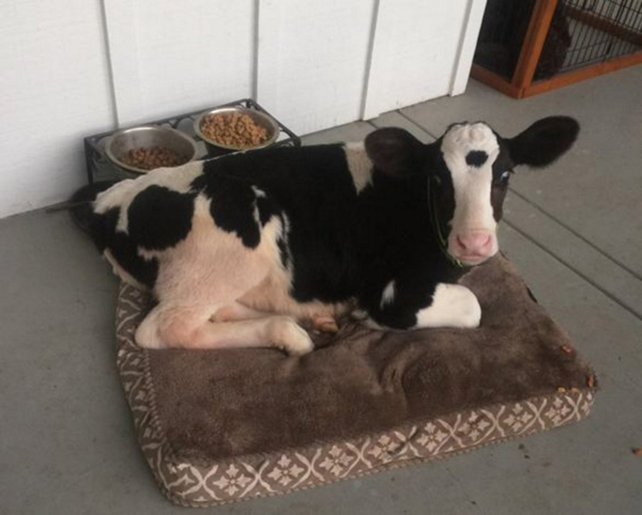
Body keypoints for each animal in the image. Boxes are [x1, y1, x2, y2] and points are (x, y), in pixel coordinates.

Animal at [90, 116, 579, 355]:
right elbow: (474, 307)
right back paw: (291, 336)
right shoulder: (392, 291)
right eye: (438, 178)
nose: (474, 242)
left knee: (214, 309)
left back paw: (306, 321)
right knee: (166, 328)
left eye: (505, 175)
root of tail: (110, 200)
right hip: (237, 237)